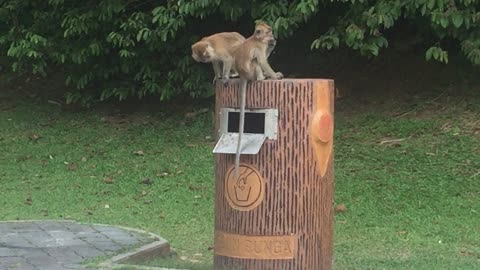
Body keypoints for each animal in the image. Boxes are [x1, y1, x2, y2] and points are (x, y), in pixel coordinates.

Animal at [233, 22, 284, 178]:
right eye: (268, 31)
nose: (272, 35)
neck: (256, 39)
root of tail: (243, 76)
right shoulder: (259, 47)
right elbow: (262, 61)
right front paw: (275, 77)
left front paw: (273, 44)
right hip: (251, 73)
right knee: (256, 61)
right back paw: (263, 78)